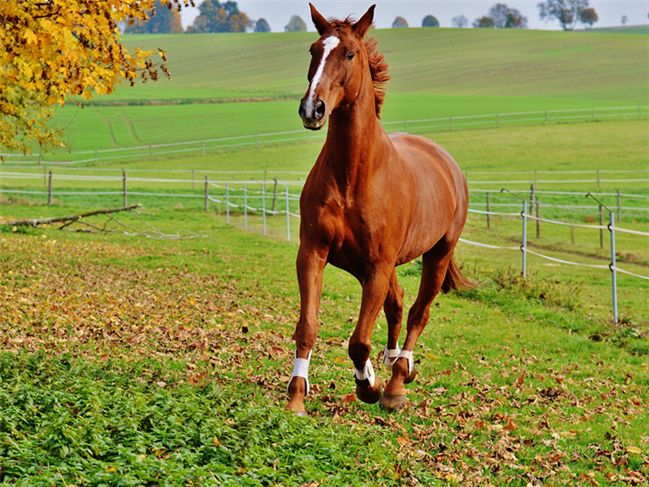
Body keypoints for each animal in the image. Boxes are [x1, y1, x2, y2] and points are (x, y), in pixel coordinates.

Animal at [286, 3, 468, 416]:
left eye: (350, 54)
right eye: (313, 50)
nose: (312, 109)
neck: (353, 177)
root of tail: (448, 164)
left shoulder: (377, 266)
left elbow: (358, 340)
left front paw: (369, 385)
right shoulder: (314, 253)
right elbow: (309, 327)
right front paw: (296, 397)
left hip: (436, 255)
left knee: (417, 312)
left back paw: (397, 382)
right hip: (367, 265)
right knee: (397, 304)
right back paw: (392, 363)